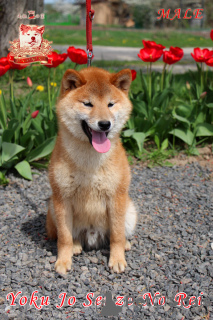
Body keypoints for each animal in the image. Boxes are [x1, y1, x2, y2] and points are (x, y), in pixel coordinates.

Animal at [45, 67, 137, 272]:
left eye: (110, 104)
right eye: (88, 104)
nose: (104, 124)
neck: (90, 161)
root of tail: (93, 235)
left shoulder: (116, 196)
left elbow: (117, 235)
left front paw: (117, 259)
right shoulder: (62, 198)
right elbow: (64, 238)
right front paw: (63, 261)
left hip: (130, 210)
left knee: (117, 234)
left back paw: (126, 244)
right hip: (53, 209)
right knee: (71, 236)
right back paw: (76, 246)